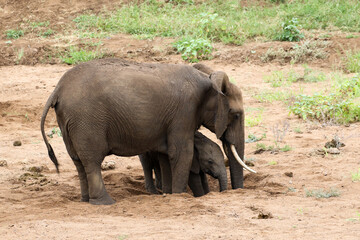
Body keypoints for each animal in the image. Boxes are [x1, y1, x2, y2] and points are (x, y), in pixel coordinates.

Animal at [40, 58, 255, 204]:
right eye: (236, 115)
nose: (235, 192)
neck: (208, 81)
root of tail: (57, 89)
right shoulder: (184, 112)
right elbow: (181, 153)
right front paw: (178, 196)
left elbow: (165, 155)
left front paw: (168, 194)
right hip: (86, 120)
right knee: (92, 160)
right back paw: (105, 203)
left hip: (69, 121)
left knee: (78, 161)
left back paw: (86, 200)